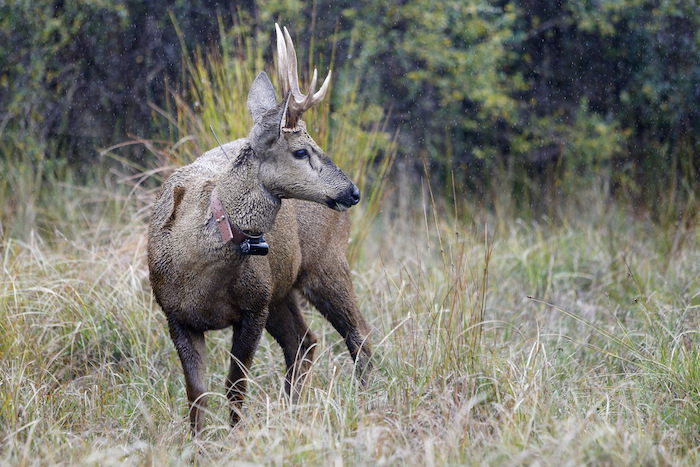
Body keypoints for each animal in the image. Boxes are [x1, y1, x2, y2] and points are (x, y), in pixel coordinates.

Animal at [146, 24, 372, 436]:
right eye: (301, 151)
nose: (353, 191)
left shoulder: (253, 306)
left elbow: (234, 385)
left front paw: (236, 436)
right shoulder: (175, 314)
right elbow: (196, 394)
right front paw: (197, 442)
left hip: (324, 261)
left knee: (358, 334)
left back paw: (365, 402)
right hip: (281, 287)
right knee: (304, 342)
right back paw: (290, 410)